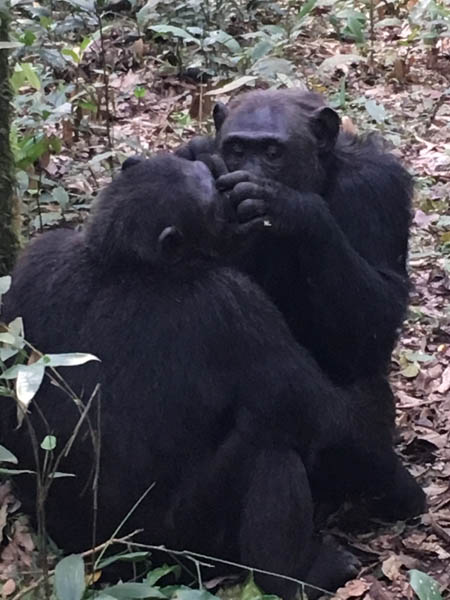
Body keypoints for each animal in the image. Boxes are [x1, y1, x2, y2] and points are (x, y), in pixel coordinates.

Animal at [1, 156, 372, 600]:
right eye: (215, 205)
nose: (231, 195)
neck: (123, 263)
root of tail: (113, 563)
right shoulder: (235, 304)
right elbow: (316, 411)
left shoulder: (34, 261)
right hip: (189, 542)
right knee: (271, 451)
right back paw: (300, 574)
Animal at [175, 86, 426, 516]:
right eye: (237, 149)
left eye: (273, 153)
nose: (252, 172)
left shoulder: (376, 186)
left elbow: (383, 307)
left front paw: (291, 208)